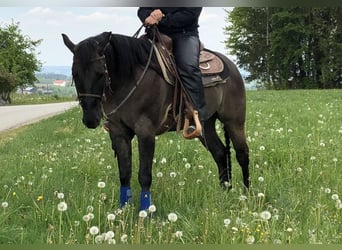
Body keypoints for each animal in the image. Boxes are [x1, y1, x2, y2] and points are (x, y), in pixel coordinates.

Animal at [62, 31, 248, 211]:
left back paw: (247, 194)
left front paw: (145, 211)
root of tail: (231, 66)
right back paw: (224, 191)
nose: (90, 118)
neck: (130, 79)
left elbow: (144, 175)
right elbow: (124, 173)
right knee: (220, 153)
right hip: (205, 125)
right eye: (75, 74)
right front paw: (123, 209)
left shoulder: (145, 131)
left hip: (234, 121)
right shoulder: (118, 132)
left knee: (242, 153)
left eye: (100, 73)